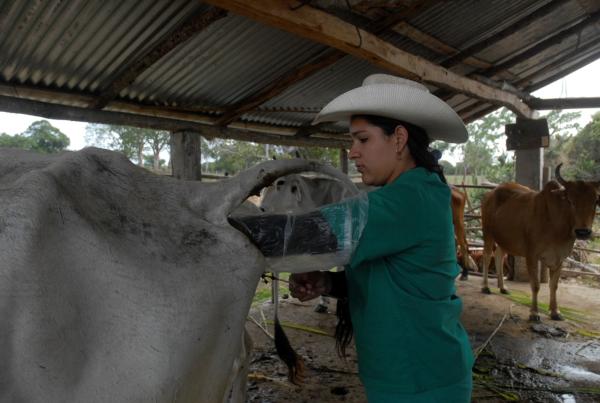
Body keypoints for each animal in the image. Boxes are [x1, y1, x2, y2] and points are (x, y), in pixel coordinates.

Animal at [482, 165, 600, 322]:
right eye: (570, 200)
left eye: (596, 201)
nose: (583, 232)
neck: (556, 224)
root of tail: (491, 193)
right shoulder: (532, 256)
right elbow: (536, 285)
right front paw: (534, 313)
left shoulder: (560, 258)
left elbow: (554, 285)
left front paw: (555, 312)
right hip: (488, 233)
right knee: (487, 255)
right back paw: (485, 287)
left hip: (504, 239)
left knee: (499, 255)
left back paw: (503, 287)